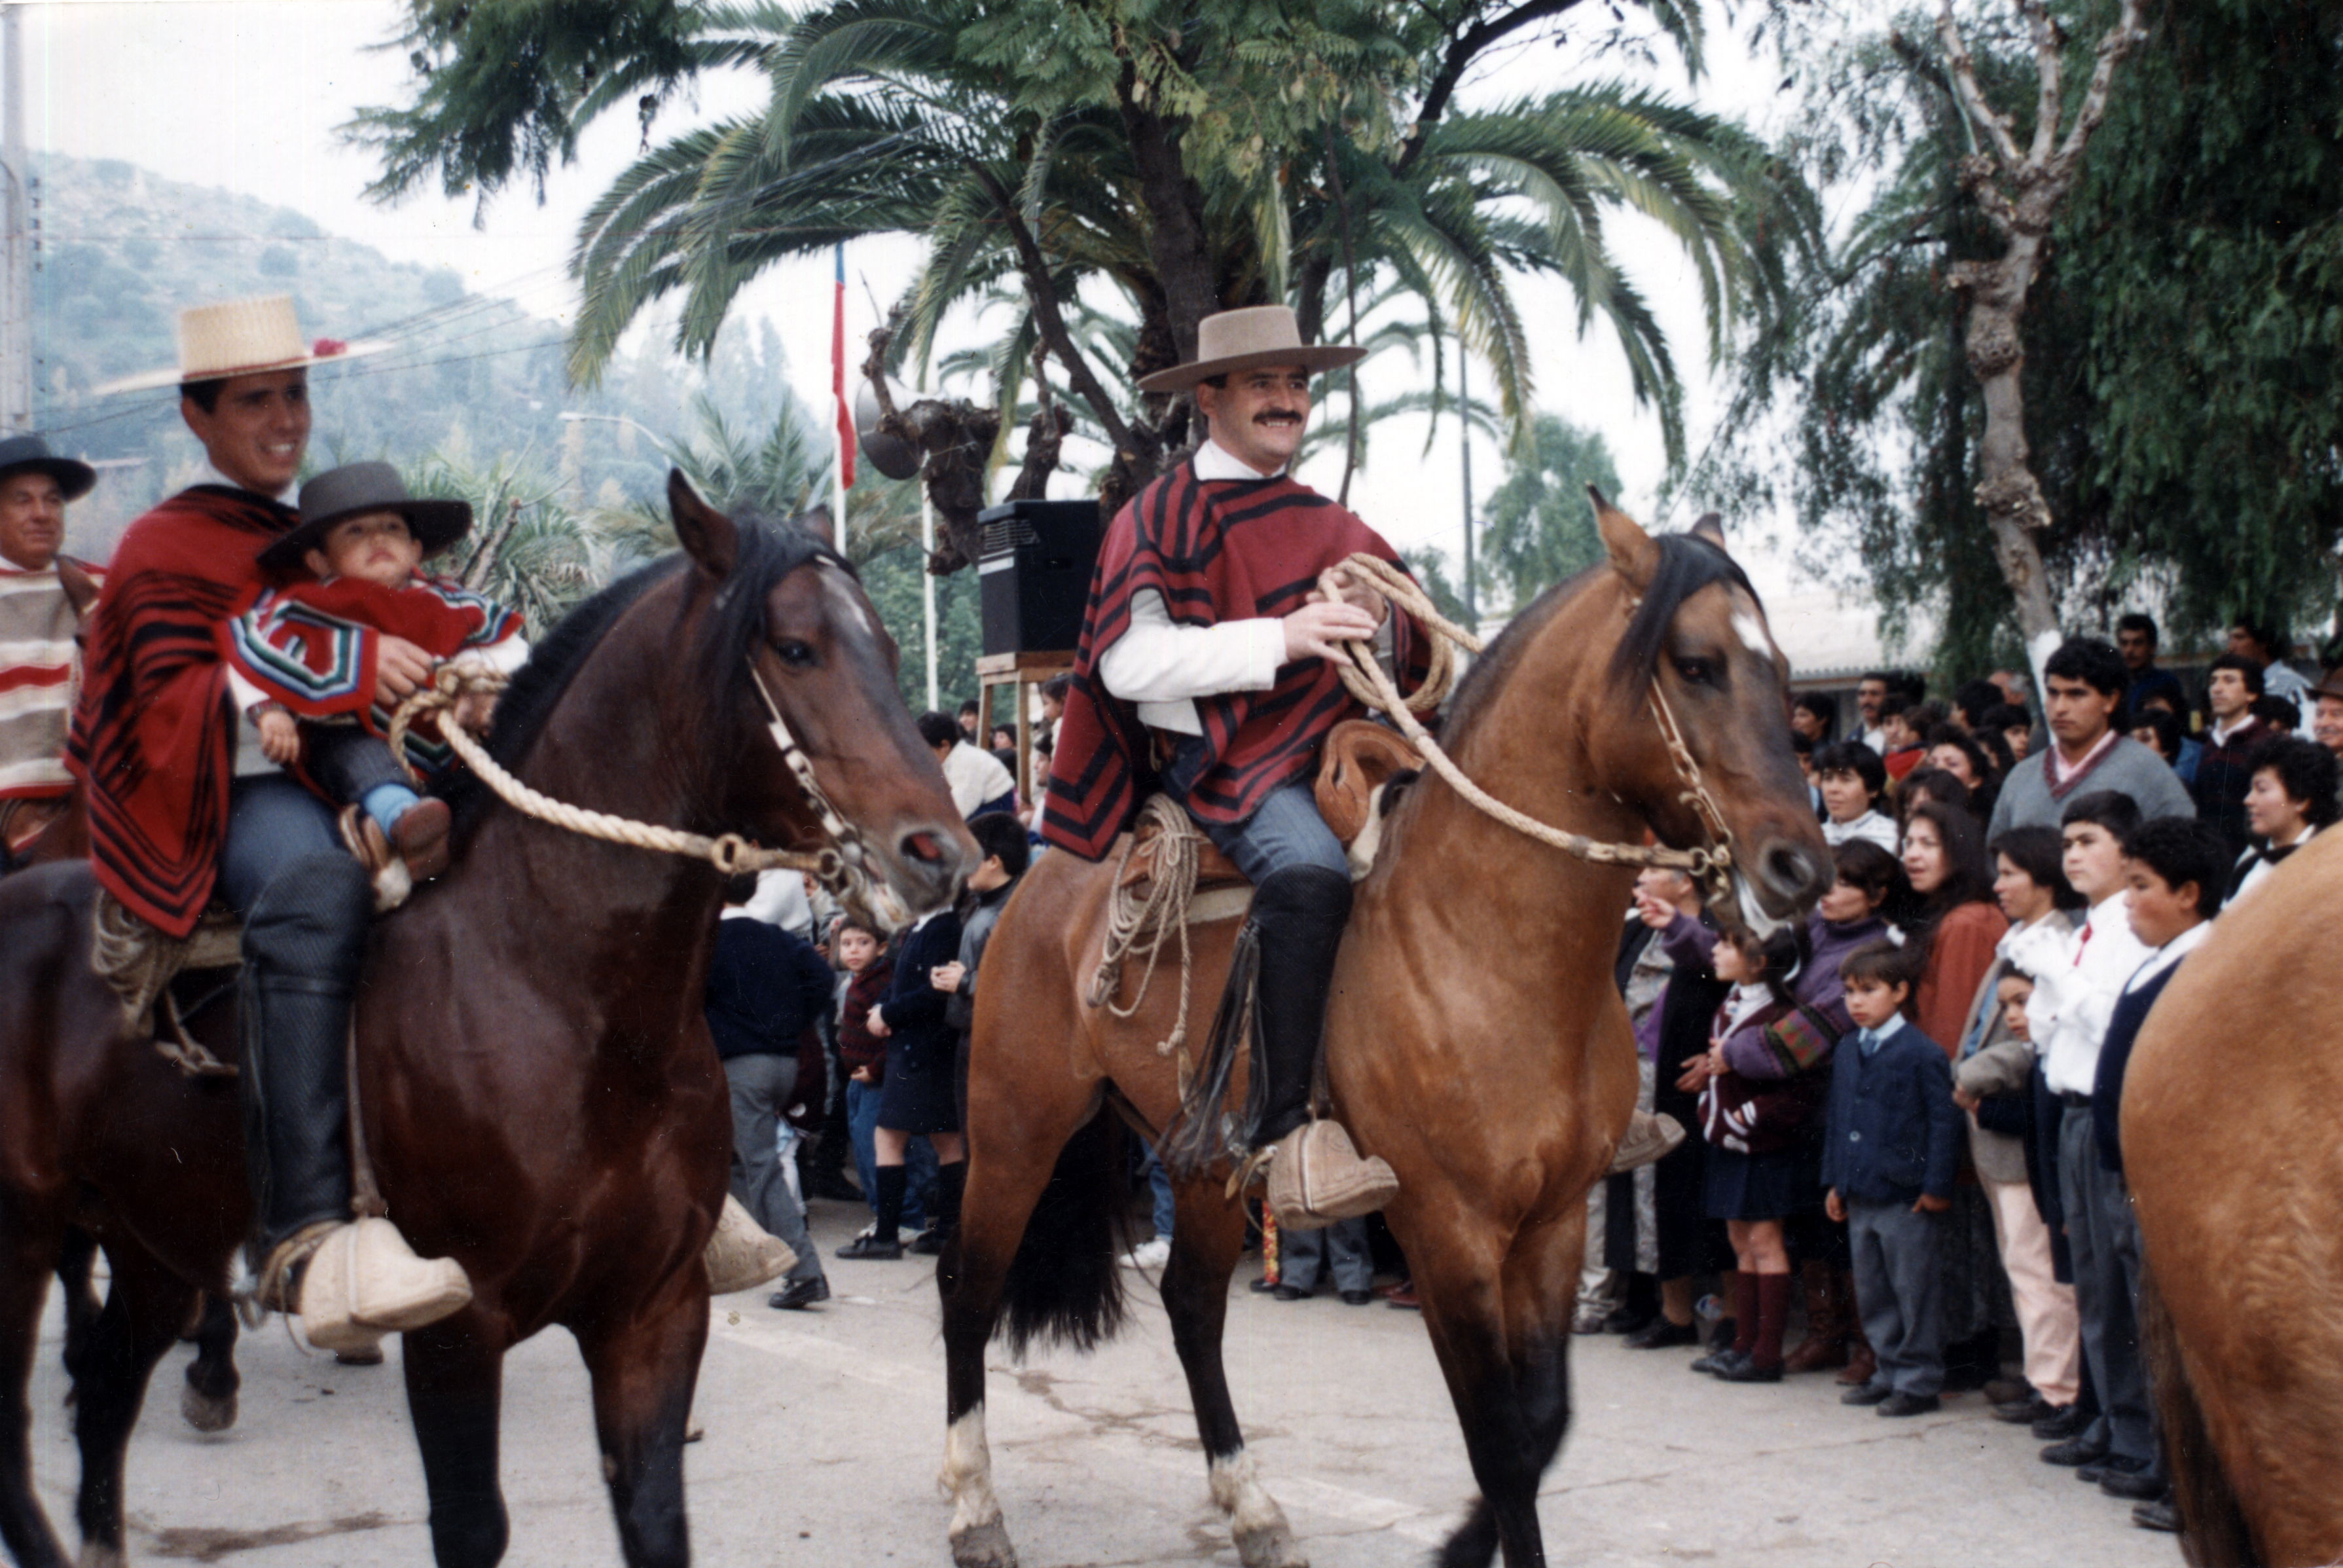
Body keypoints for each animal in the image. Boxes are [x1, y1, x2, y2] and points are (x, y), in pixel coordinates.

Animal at [0, 473, 970, 1565]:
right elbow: (472, 1524)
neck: (569, 999)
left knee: (105, 1387)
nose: (938, 852)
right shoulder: (459, 1328)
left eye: (886, 646)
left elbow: (654, 1516)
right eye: (796, 647)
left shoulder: (654, 1310)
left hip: (153, 1234)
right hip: (25, 1233)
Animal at [932, 492, 1827, 1565]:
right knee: (966, 1289)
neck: (1489, 941)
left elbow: (1542, 1424)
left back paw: (1253, 1508)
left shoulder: (1555, 1220)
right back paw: (975, 1507)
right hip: (1014, 1130)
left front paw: (1457, 1546)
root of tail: (1038, 875)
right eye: (1695, 664)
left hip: (1200, 1157)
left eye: (1782, 666)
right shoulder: (1449, 1229)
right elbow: (1503, 1444)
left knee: (1191, 1308)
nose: (1798, 868)